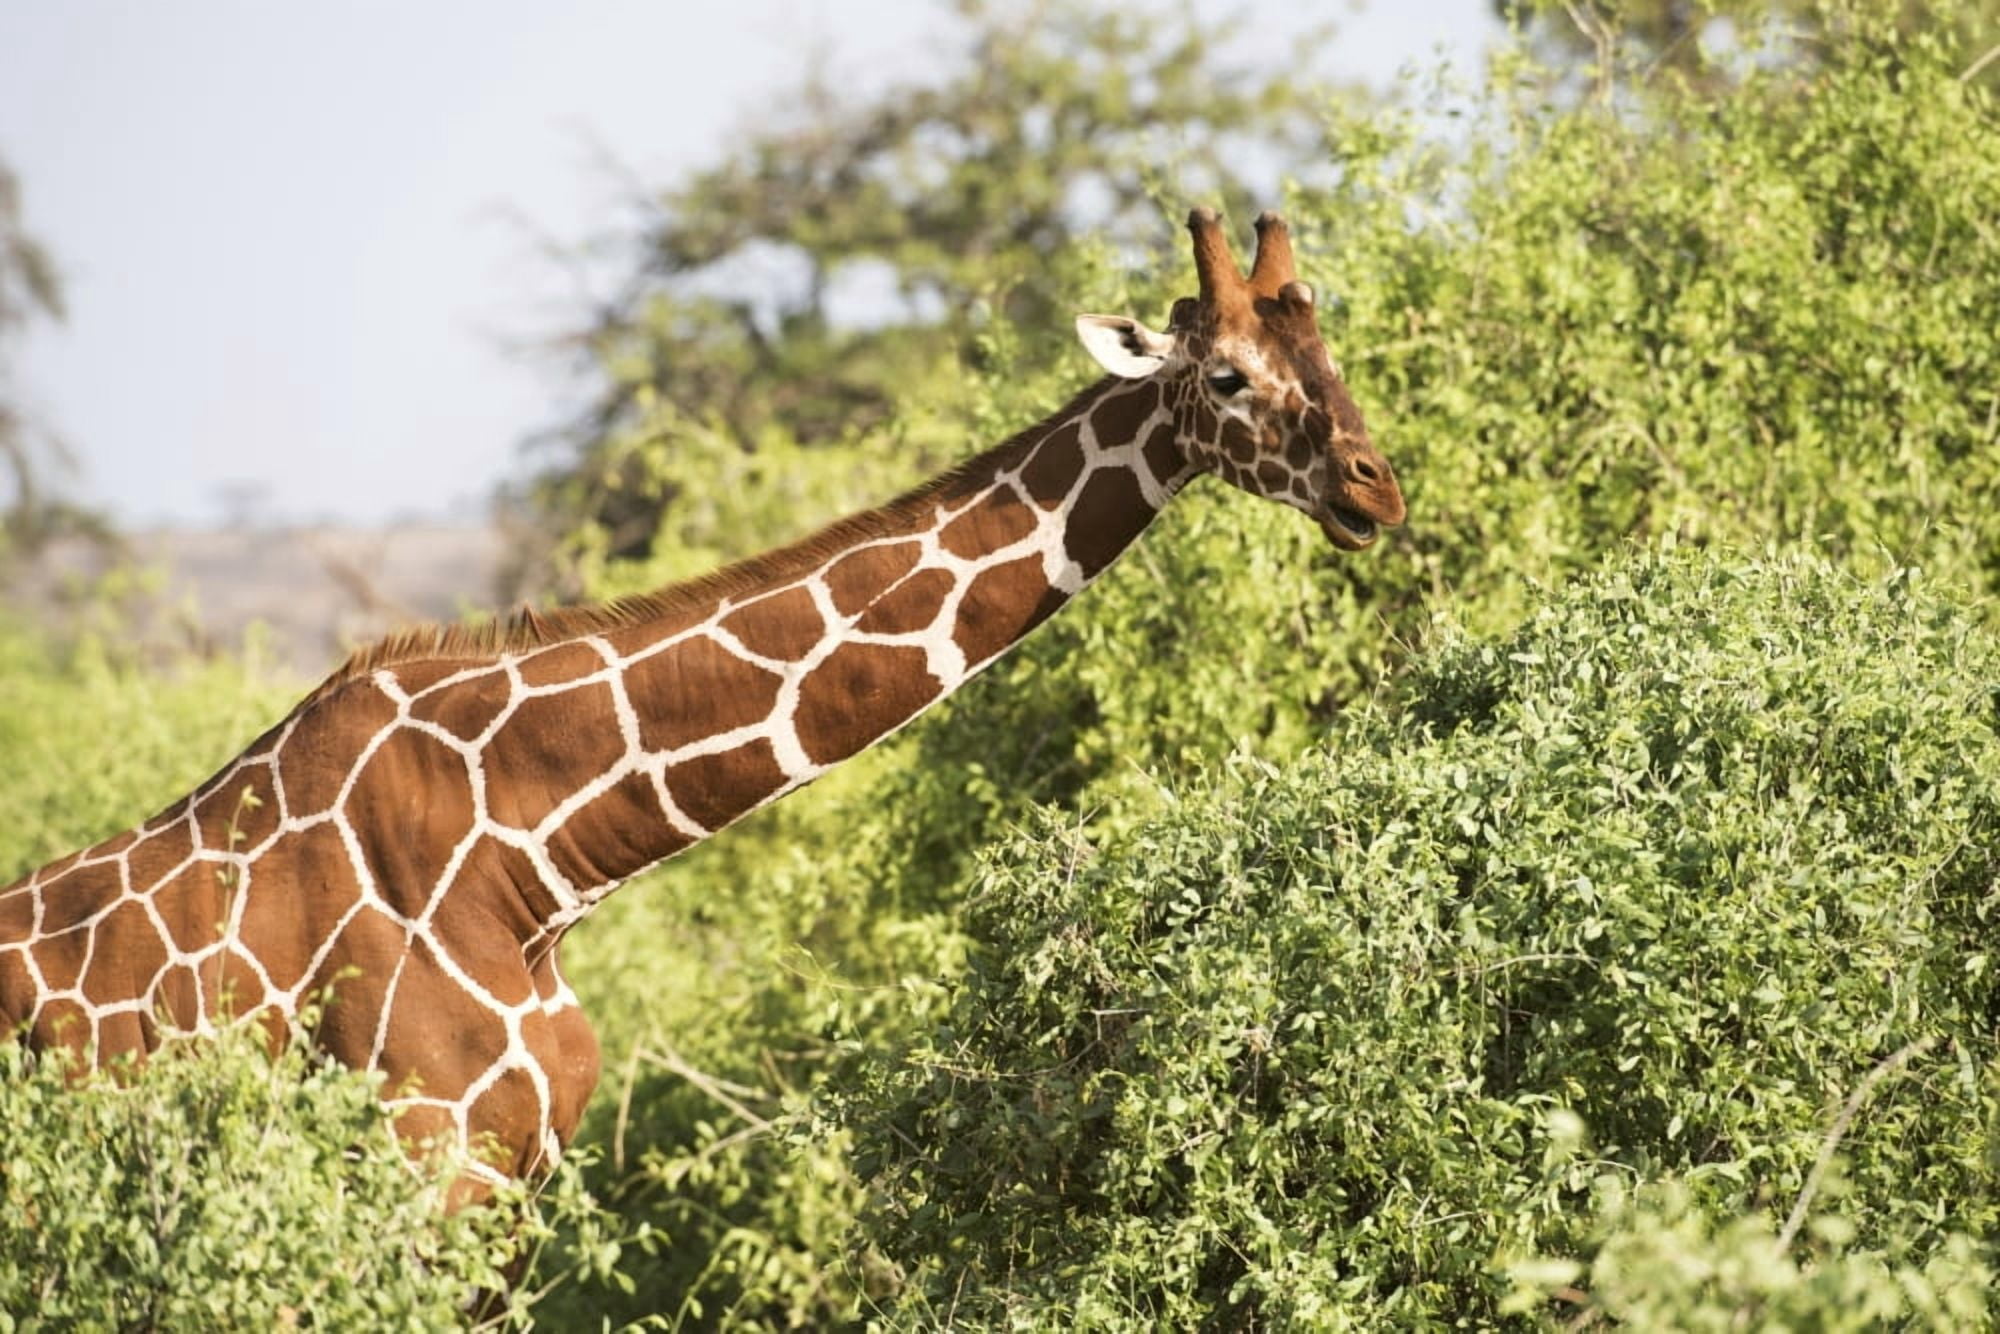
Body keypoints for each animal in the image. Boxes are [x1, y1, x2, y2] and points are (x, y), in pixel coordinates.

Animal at [0, 208, 1403, 1188]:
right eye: (1223, 377)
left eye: (1327, 352)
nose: (1373, 486)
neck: (531, 861)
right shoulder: (426, 1161)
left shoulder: (517, 1176)